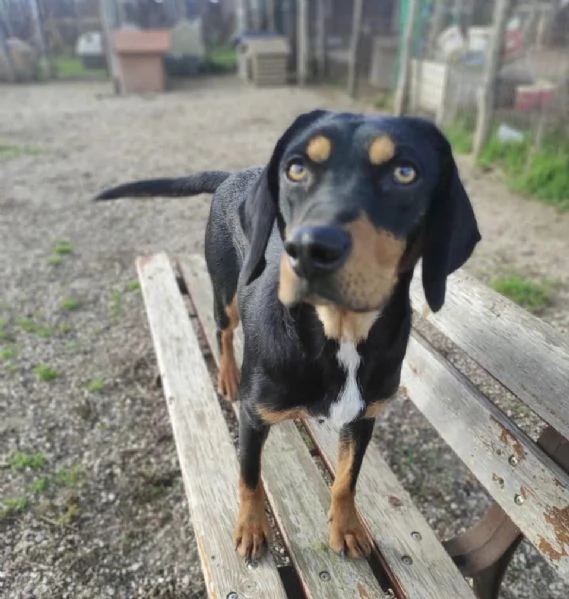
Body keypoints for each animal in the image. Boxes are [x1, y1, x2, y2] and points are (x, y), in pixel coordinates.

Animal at [96, 110, 480, 564]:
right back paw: (227, 375)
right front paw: (251, 528)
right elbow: (249, 477)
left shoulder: (364, 418)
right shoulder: (253, 416)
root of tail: (233, 176)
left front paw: (346, 527)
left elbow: (347, 479)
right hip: (225, 292)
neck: (339, 335)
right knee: (223, 332)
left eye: (406, 173)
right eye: (296, 168)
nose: (312, 249)